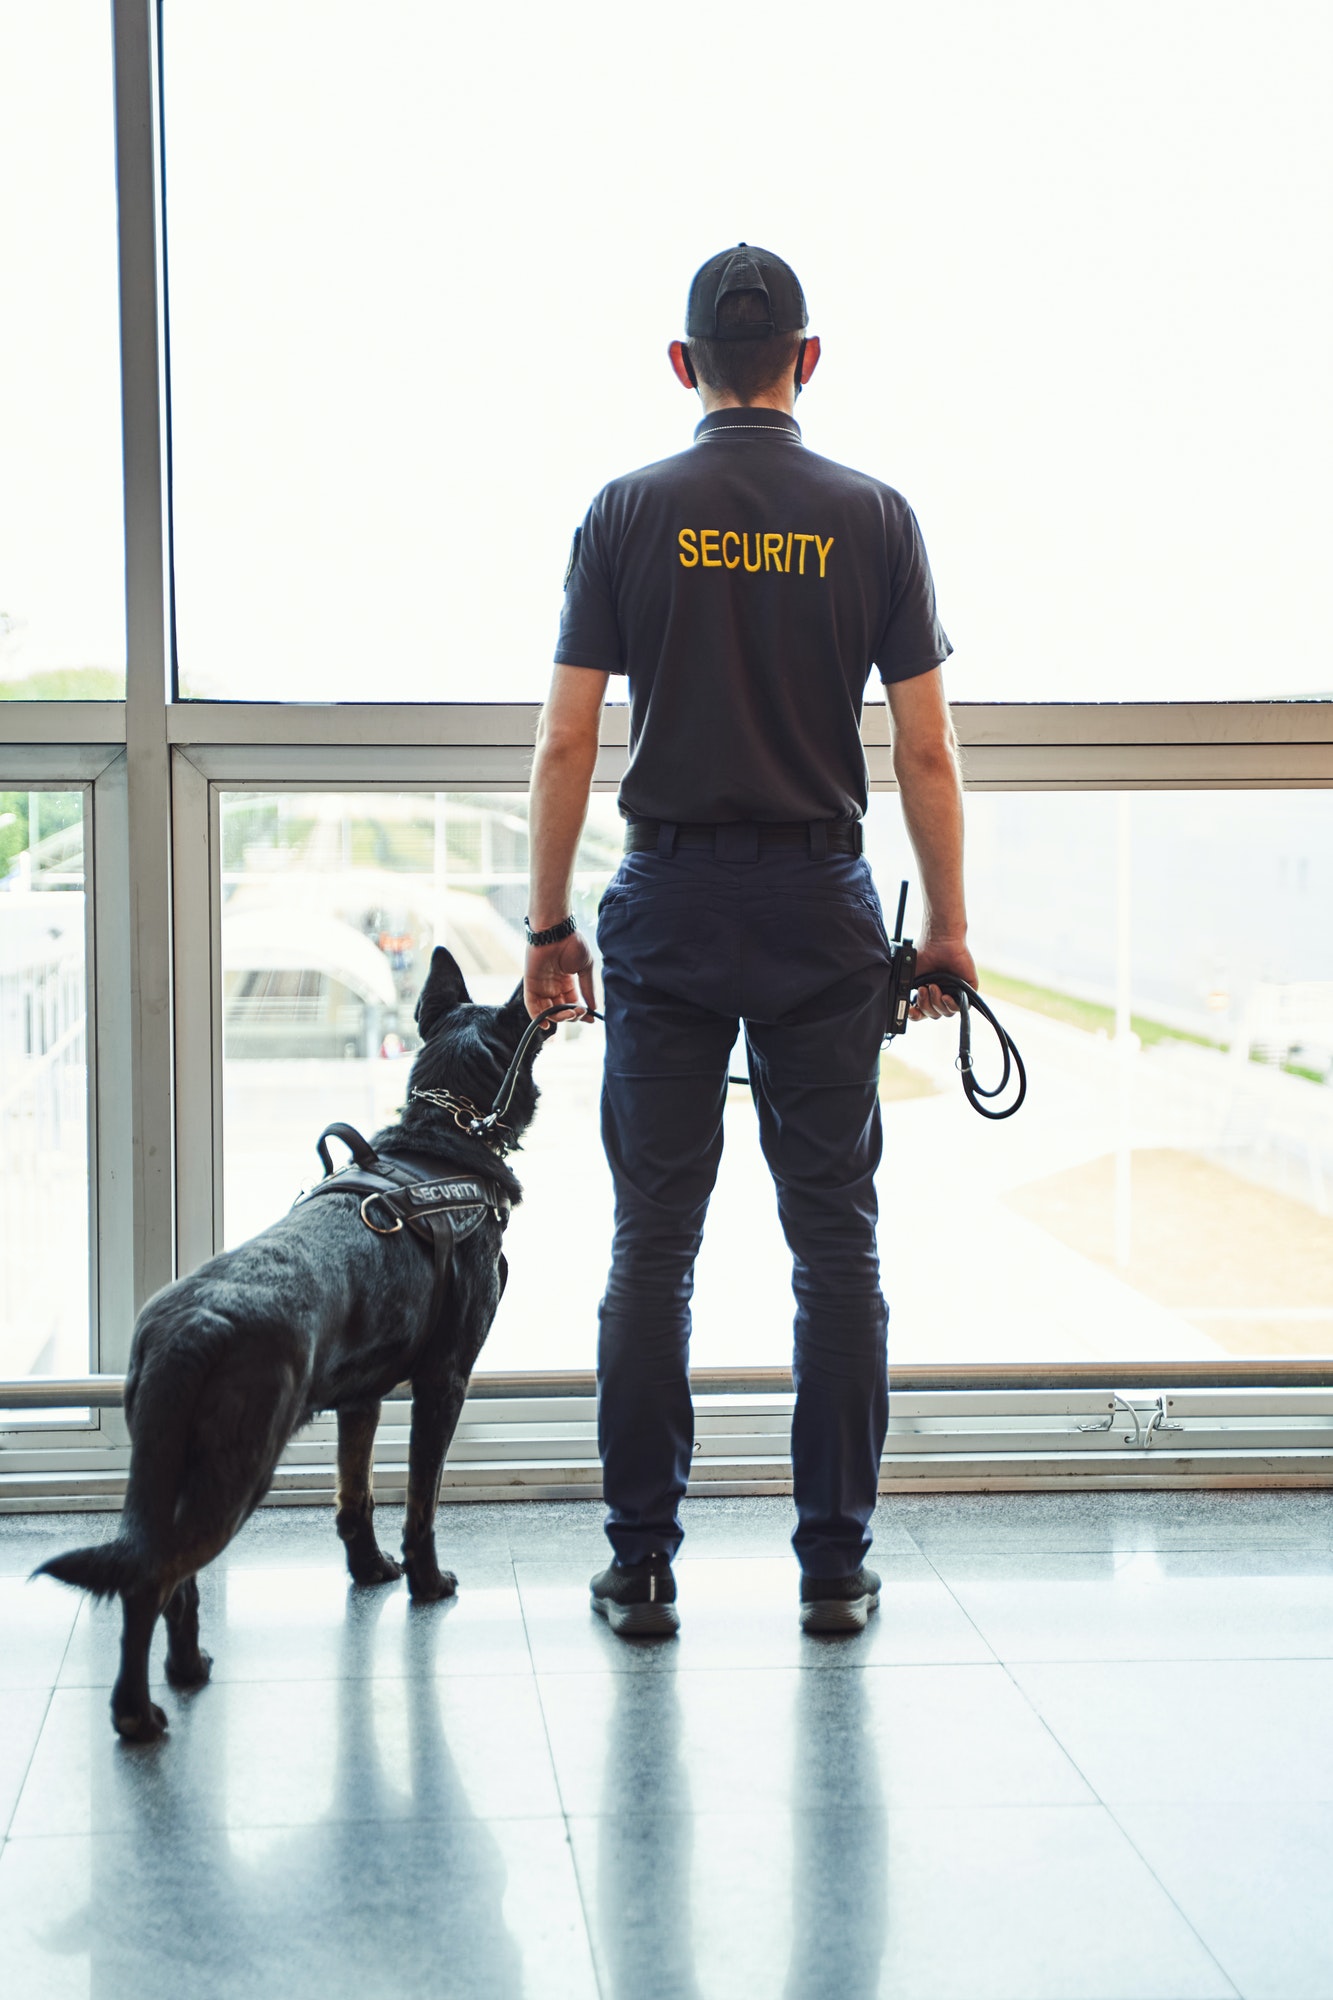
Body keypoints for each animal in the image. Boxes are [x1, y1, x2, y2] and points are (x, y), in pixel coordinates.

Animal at [37, 944, 544, 1744]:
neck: (444, 1145)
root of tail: (190, 1330)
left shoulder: (361, 1401)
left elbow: (354, 1497)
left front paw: (369, 1571)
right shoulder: (445, 1383)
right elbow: (421, 1504)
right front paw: (426, 1582)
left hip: (178, 1471)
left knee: (173, 1576)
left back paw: (188, 1668)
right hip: (238, 1474)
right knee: (151, 1578)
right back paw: (135, 1712)